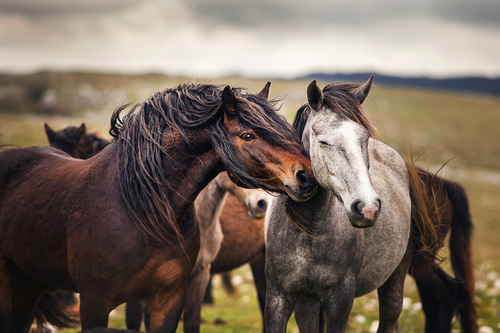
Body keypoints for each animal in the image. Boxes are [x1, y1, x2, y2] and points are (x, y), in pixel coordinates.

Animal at [266, 76, 434, 330]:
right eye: (323, 141)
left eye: (365, 138)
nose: (367, 208)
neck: (310, 230)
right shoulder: (279, 297)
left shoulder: (341, 300)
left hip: (395, 278)